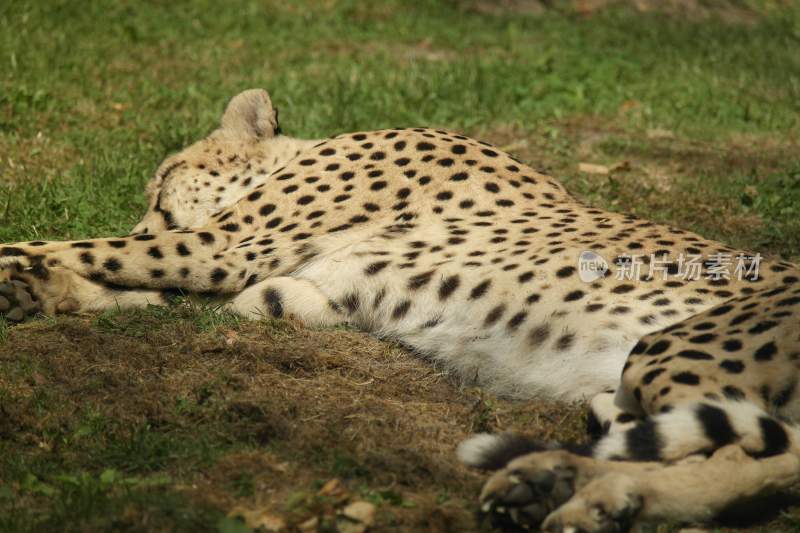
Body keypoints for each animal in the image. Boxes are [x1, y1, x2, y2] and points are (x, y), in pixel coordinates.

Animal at [1, 89, 800, 528]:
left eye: (163, 175)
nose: (146, 211)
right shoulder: (268, 285)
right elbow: (119, 277)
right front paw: (36, 290)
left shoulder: (223, 249)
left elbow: (83, 245)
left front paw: (21, 264)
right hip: (626, 389)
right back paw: (548, 482)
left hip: (671, 349)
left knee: (749, 457)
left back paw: (590, 499)